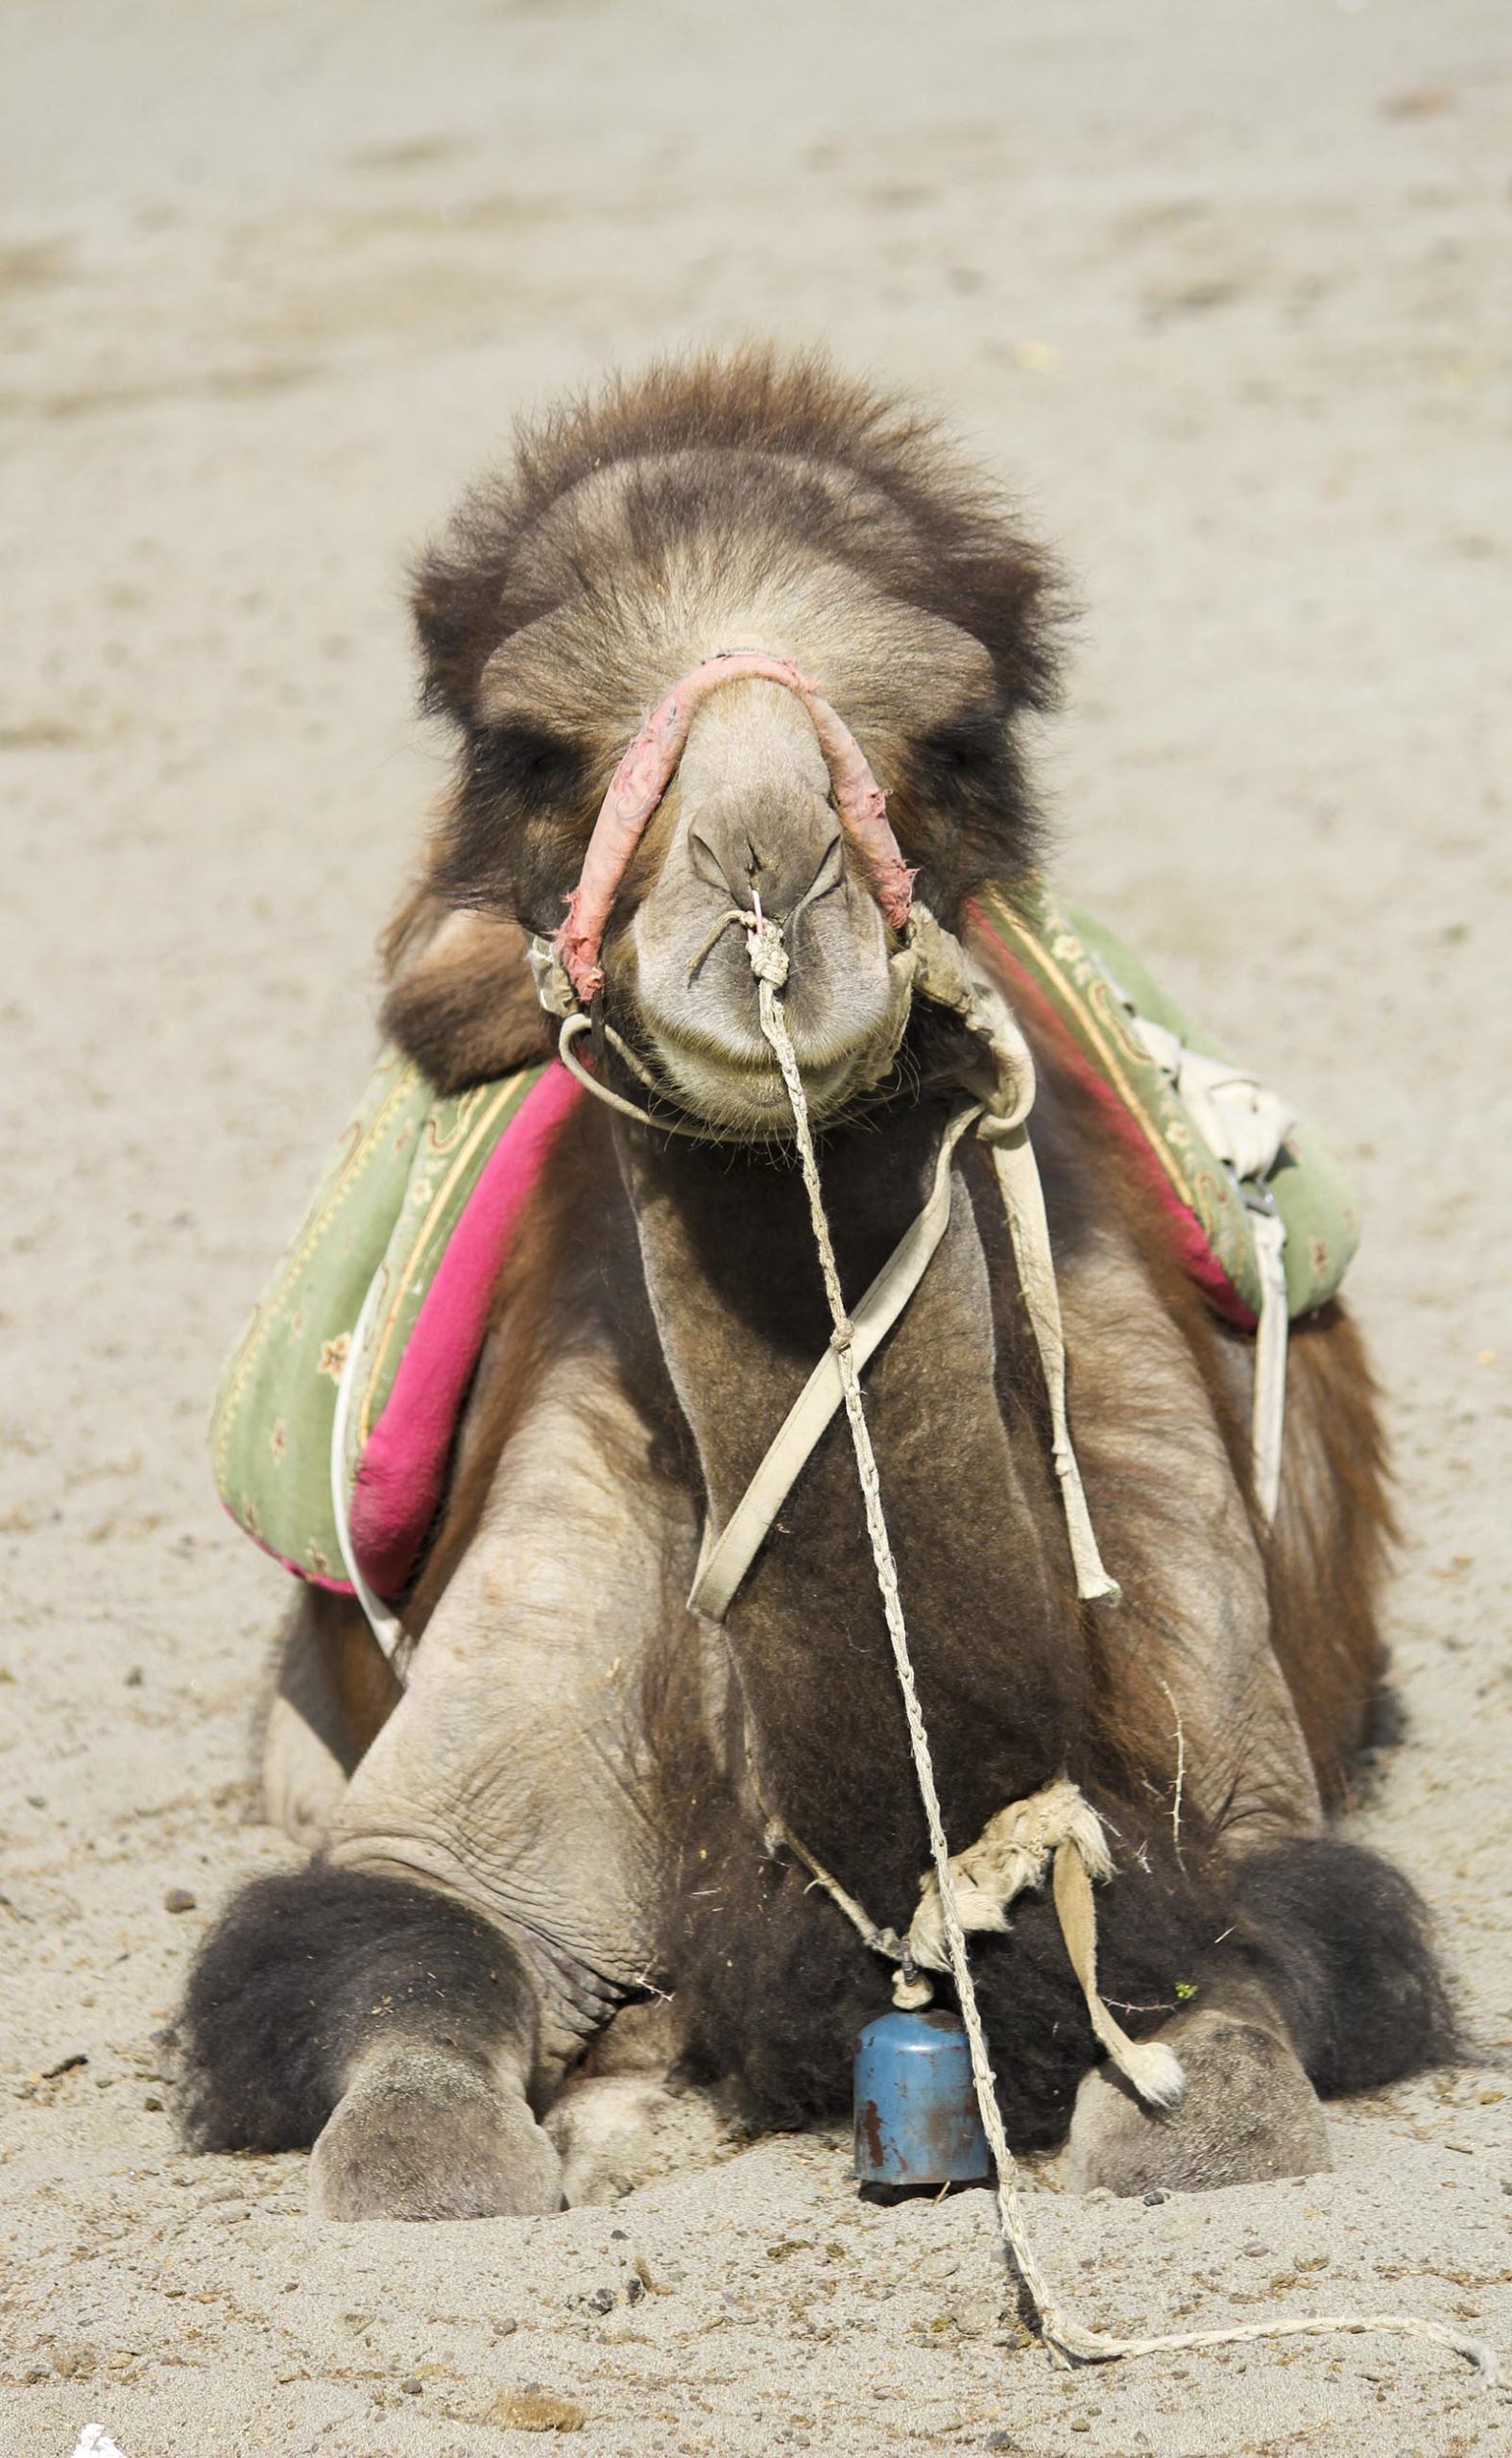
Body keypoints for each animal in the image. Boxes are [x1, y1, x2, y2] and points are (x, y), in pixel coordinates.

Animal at [177, 356, 1455, 2222]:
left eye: (960, 737)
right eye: (524, 746)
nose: (767, 878)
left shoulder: (1234, 1753)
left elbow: (1228, 2087)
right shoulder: (469, 1754)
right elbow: (418, 2081)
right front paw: (598, 2112)